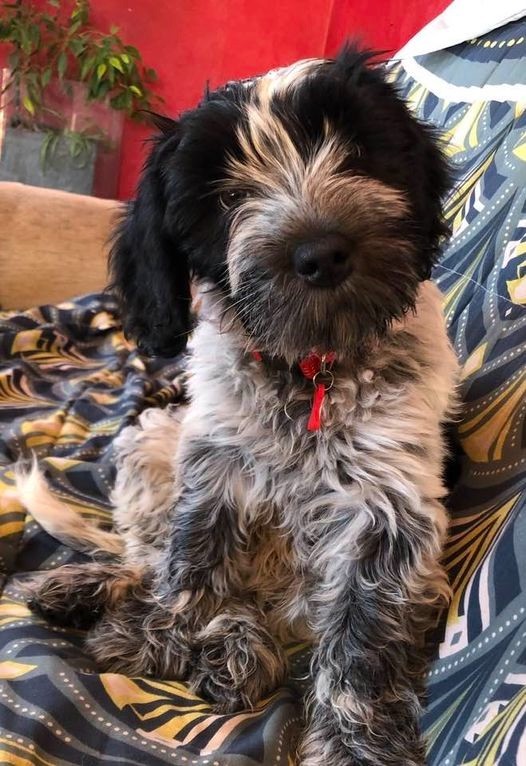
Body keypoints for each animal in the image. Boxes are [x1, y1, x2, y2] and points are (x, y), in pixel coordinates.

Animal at [18, 46, 459, 766]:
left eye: (354, 152)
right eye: (227, 198)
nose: (321, 253)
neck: (308, 368)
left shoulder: (388, 507)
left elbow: (362, 640)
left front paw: (356, 742)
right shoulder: (213, 461)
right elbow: (191, 562)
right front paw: (160, 637)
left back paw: (237, 650)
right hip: (150, 439)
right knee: (146, 559)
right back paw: (110, 596)